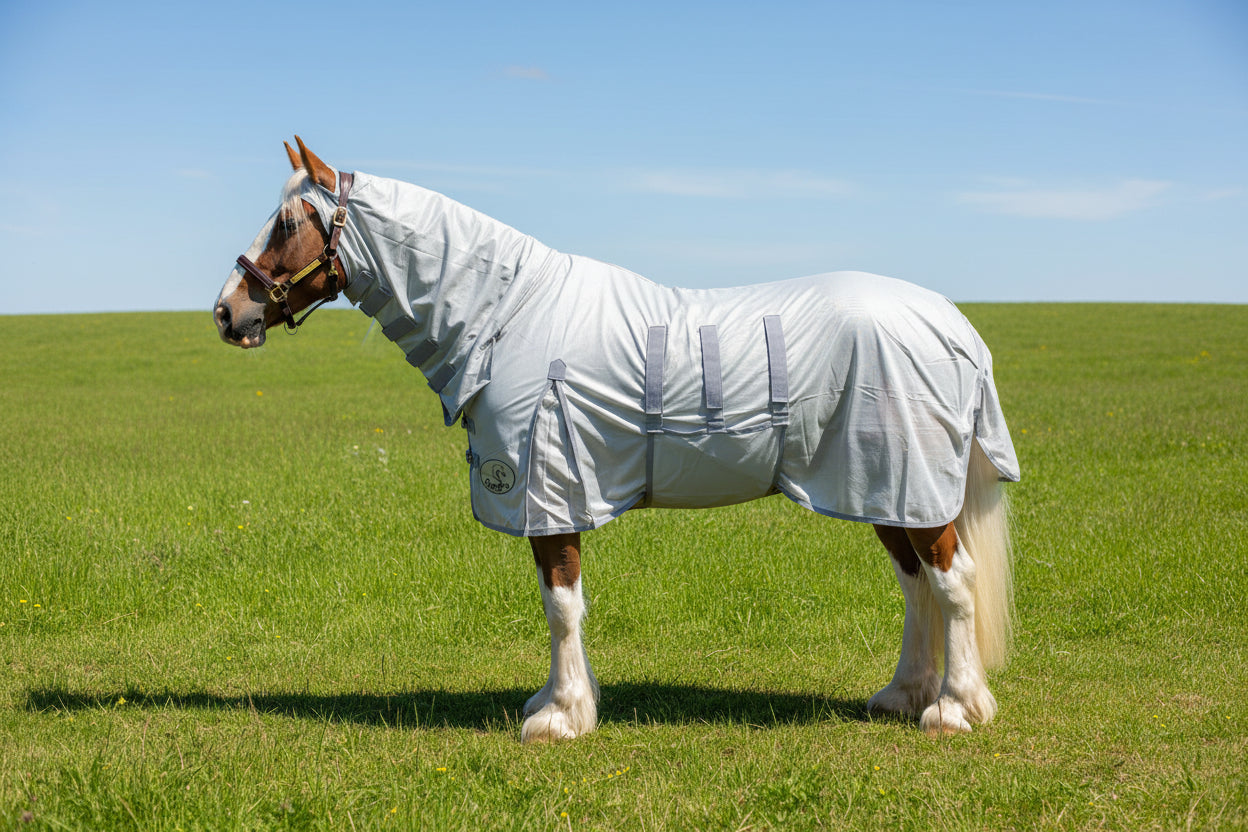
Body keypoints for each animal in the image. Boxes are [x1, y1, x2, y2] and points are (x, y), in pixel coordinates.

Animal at [215, 137, 1020, 742]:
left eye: (286, 223)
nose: (227, 312)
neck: (509, 315)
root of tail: (952, 322)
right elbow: (560, 602)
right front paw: (558, 701)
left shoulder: (547, 493)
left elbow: (561, 604)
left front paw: (563, 716)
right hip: (882, 488)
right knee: (916, 584)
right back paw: (905, 694)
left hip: (910, 485)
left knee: (952, 582)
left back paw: (954, 708)